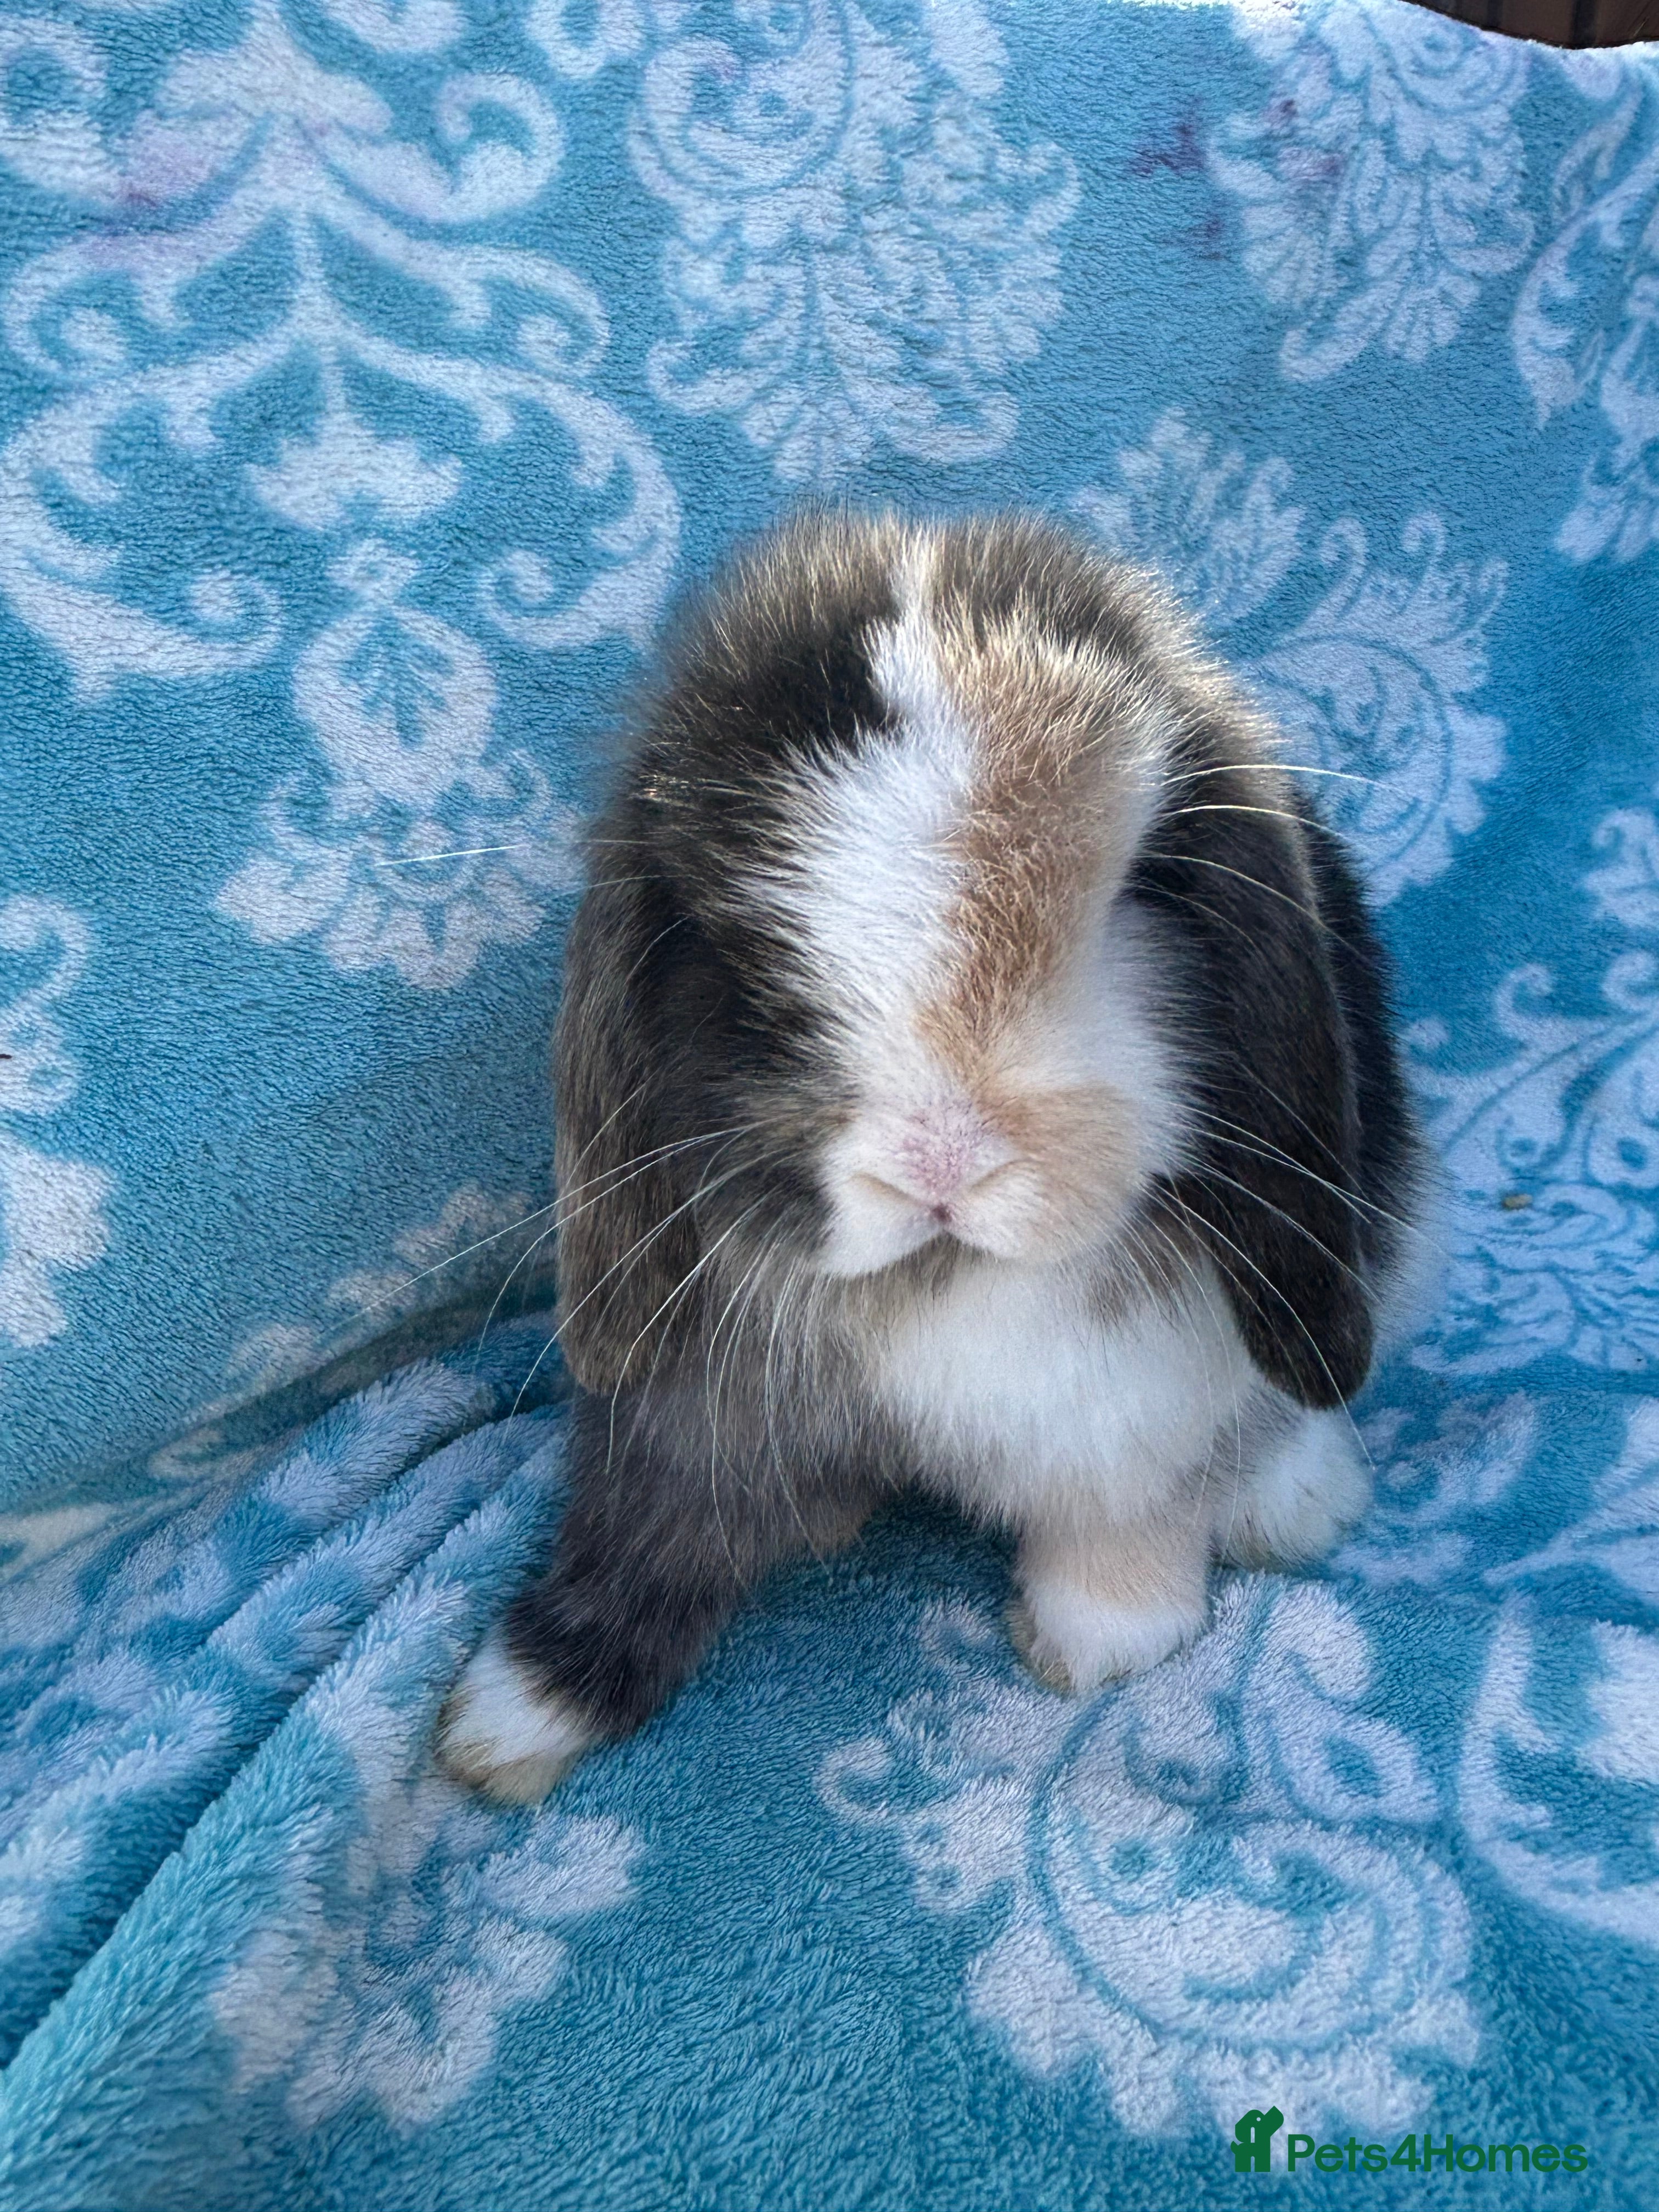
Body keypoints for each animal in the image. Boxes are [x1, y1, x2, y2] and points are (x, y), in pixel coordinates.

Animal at [436, 508, 1427, 1803]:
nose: (942, 1163)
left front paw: (1101, 1643)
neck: (943, 1274)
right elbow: (646, 1530)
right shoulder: (694, 1389)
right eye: (751, 945)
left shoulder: (1136, 1394)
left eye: (1142, 891)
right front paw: (510, 1719)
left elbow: (1131, 1505)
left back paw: (1298, 1499)